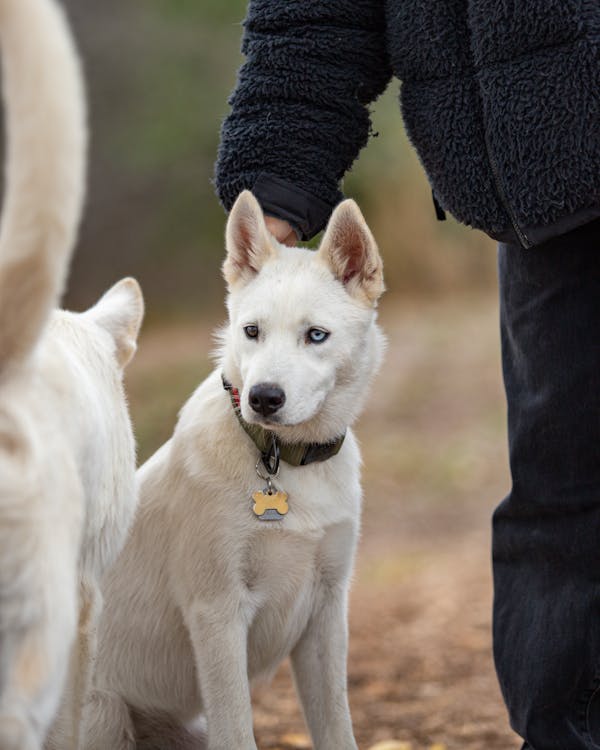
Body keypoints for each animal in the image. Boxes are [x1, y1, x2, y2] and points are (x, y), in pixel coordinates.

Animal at [83, 191, 384, 748]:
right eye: (252, 332)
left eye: (316, 335)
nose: (263, 398)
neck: (284, 460)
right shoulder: (217, 612)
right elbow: (238, 730)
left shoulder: (327, 613)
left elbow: (336, 725)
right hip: (104, 714)